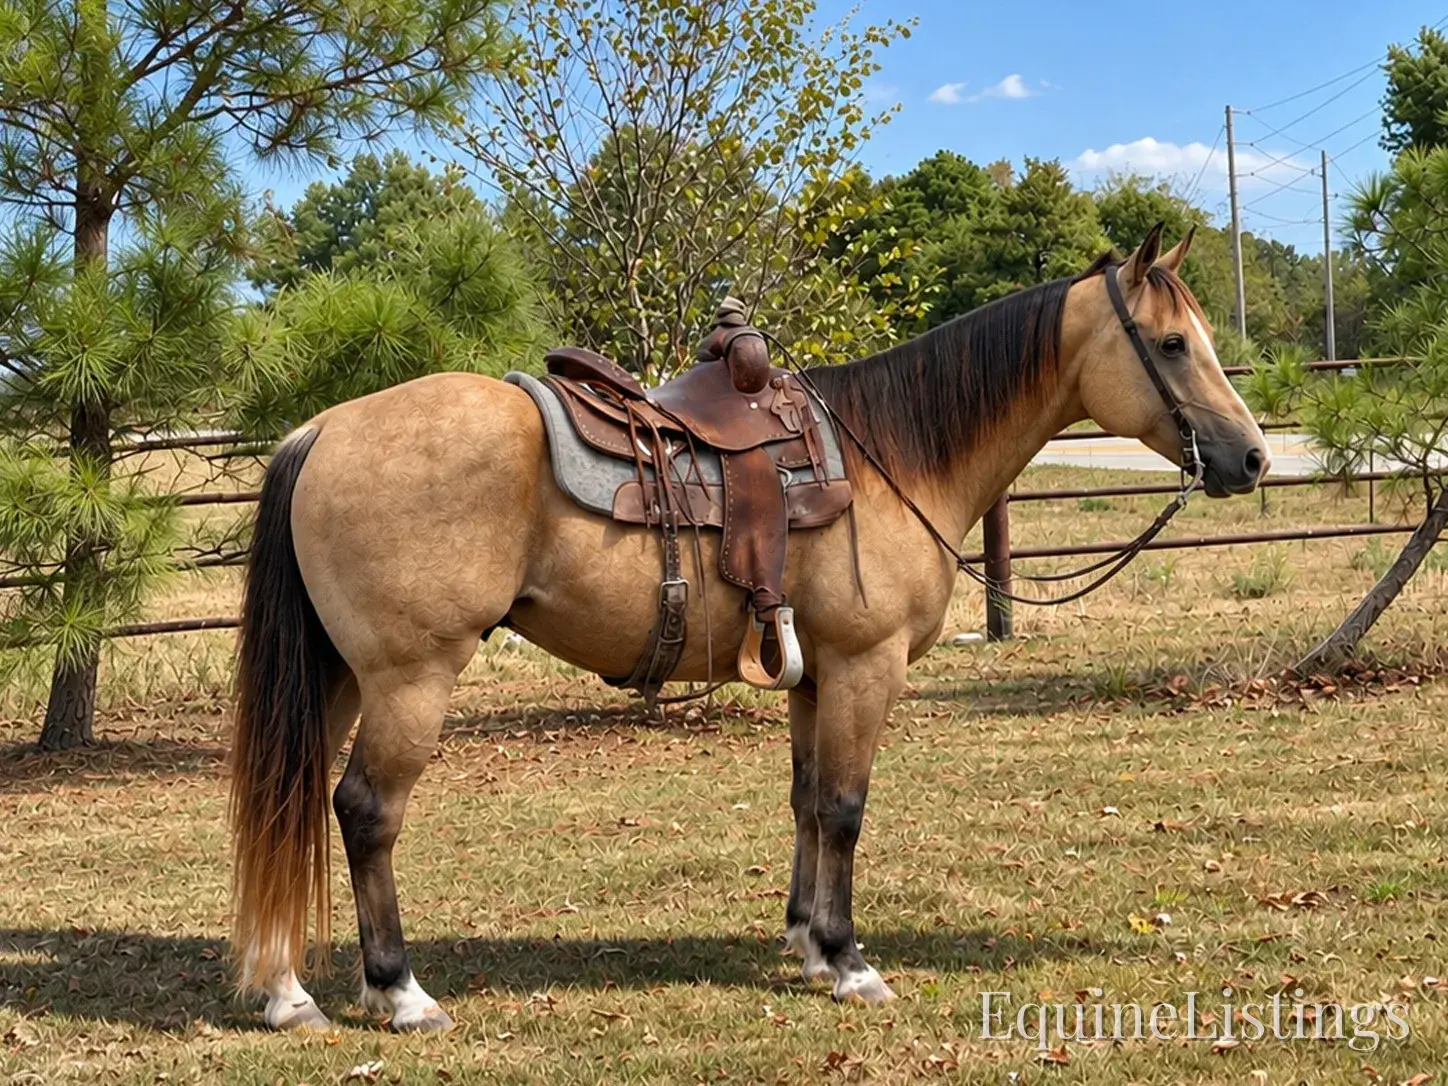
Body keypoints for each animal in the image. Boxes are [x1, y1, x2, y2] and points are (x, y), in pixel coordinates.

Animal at [229, 225, 1269, 1031]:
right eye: (1171, 345)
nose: (1253, 457)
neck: (892, 457)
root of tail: (321, 429)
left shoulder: (816, 675)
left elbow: (807, 802)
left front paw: (807, 941)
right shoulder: (865, 668)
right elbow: (845, 808)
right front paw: (849, 962)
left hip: (339, 676)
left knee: (292, 802)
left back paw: (286, 993)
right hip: (411, 678)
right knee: (366, 811)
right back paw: (399, 992)